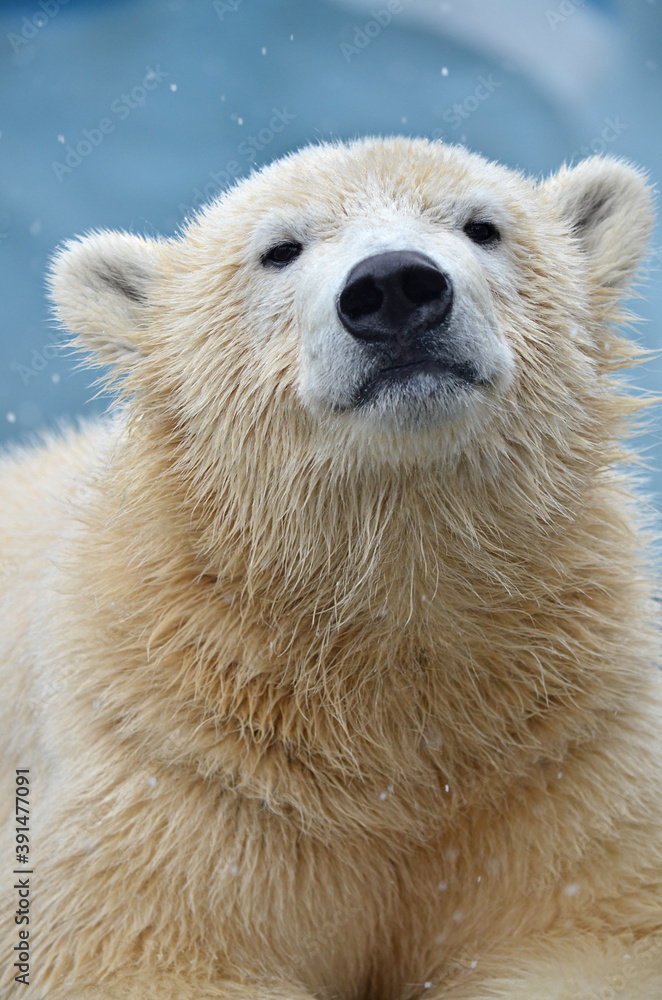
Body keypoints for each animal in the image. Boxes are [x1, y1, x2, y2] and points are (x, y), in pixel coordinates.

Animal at [0, 136, 661, 1000]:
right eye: (279, 249)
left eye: (483, 226)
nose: (395, 287)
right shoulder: (180, 760)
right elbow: (147, 955)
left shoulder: (564, 750)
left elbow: (596, 937)